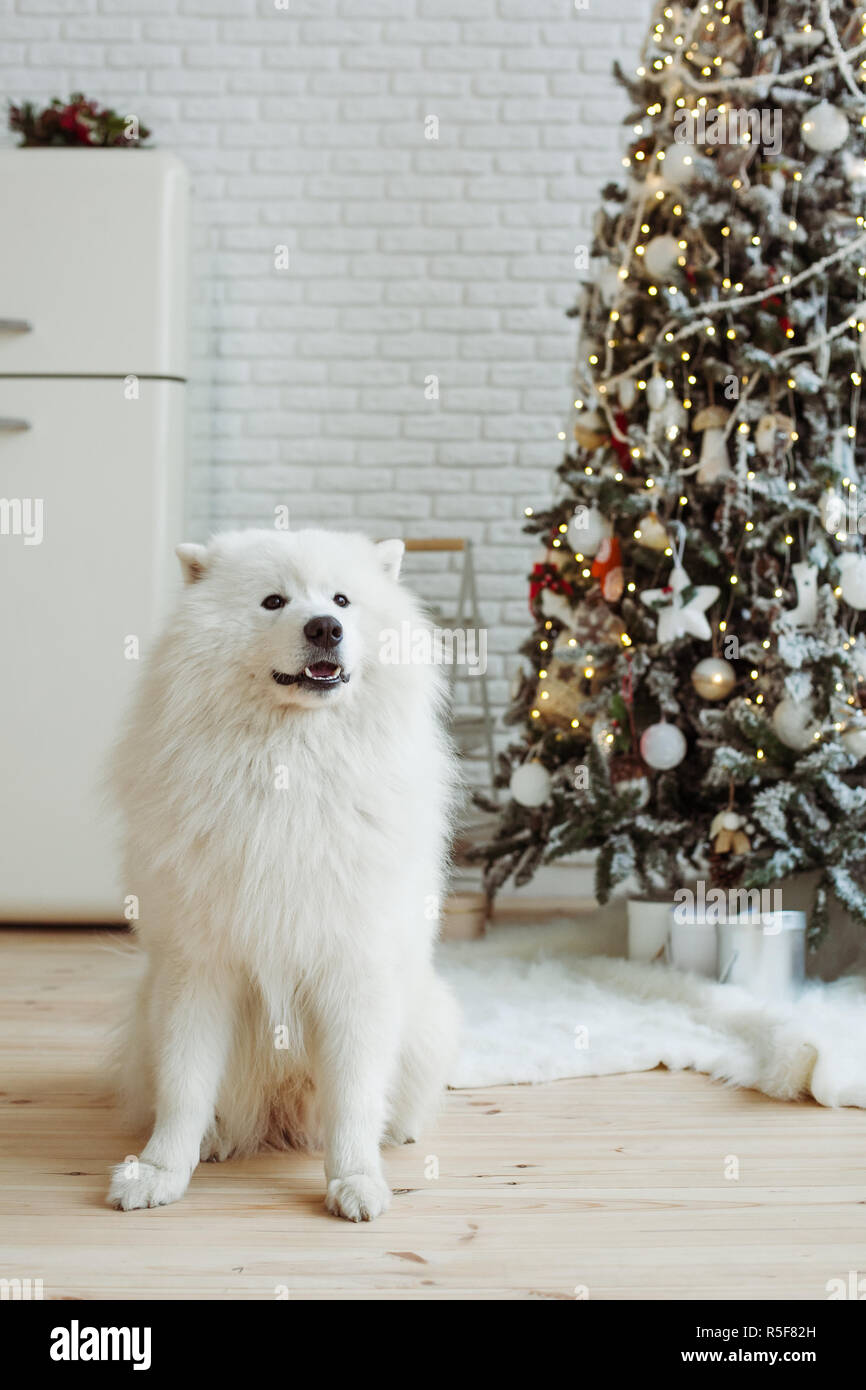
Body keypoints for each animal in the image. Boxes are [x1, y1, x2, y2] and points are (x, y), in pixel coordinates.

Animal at [108, 525, 464, 1223]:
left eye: (343, 599)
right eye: (274, 601)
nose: (325, 627)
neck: (290, 765)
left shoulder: (353, 969)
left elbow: (353, 1096)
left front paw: (356, 1181)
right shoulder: (198, 968)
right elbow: (184, 1087)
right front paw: (159, 1172)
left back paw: (394, 1132)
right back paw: (216, 1140)